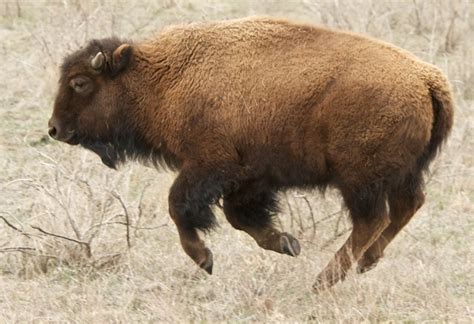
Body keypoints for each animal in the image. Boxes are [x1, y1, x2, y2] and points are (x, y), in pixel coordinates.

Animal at [49, 17, 456, 288]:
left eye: (80, 83)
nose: (54, 128)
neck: (164, 78)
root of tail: (427, 79)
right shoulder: (250, 177)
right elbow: (239, 217)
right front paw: (287, 243)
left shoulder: (209, 165)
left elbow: (179, 206)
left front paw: (205, 259)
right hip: (401, 174)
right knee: (404, 208)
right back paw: (363, 265)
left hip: (360, 179)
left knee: (372, 221)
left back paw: (323, 281)